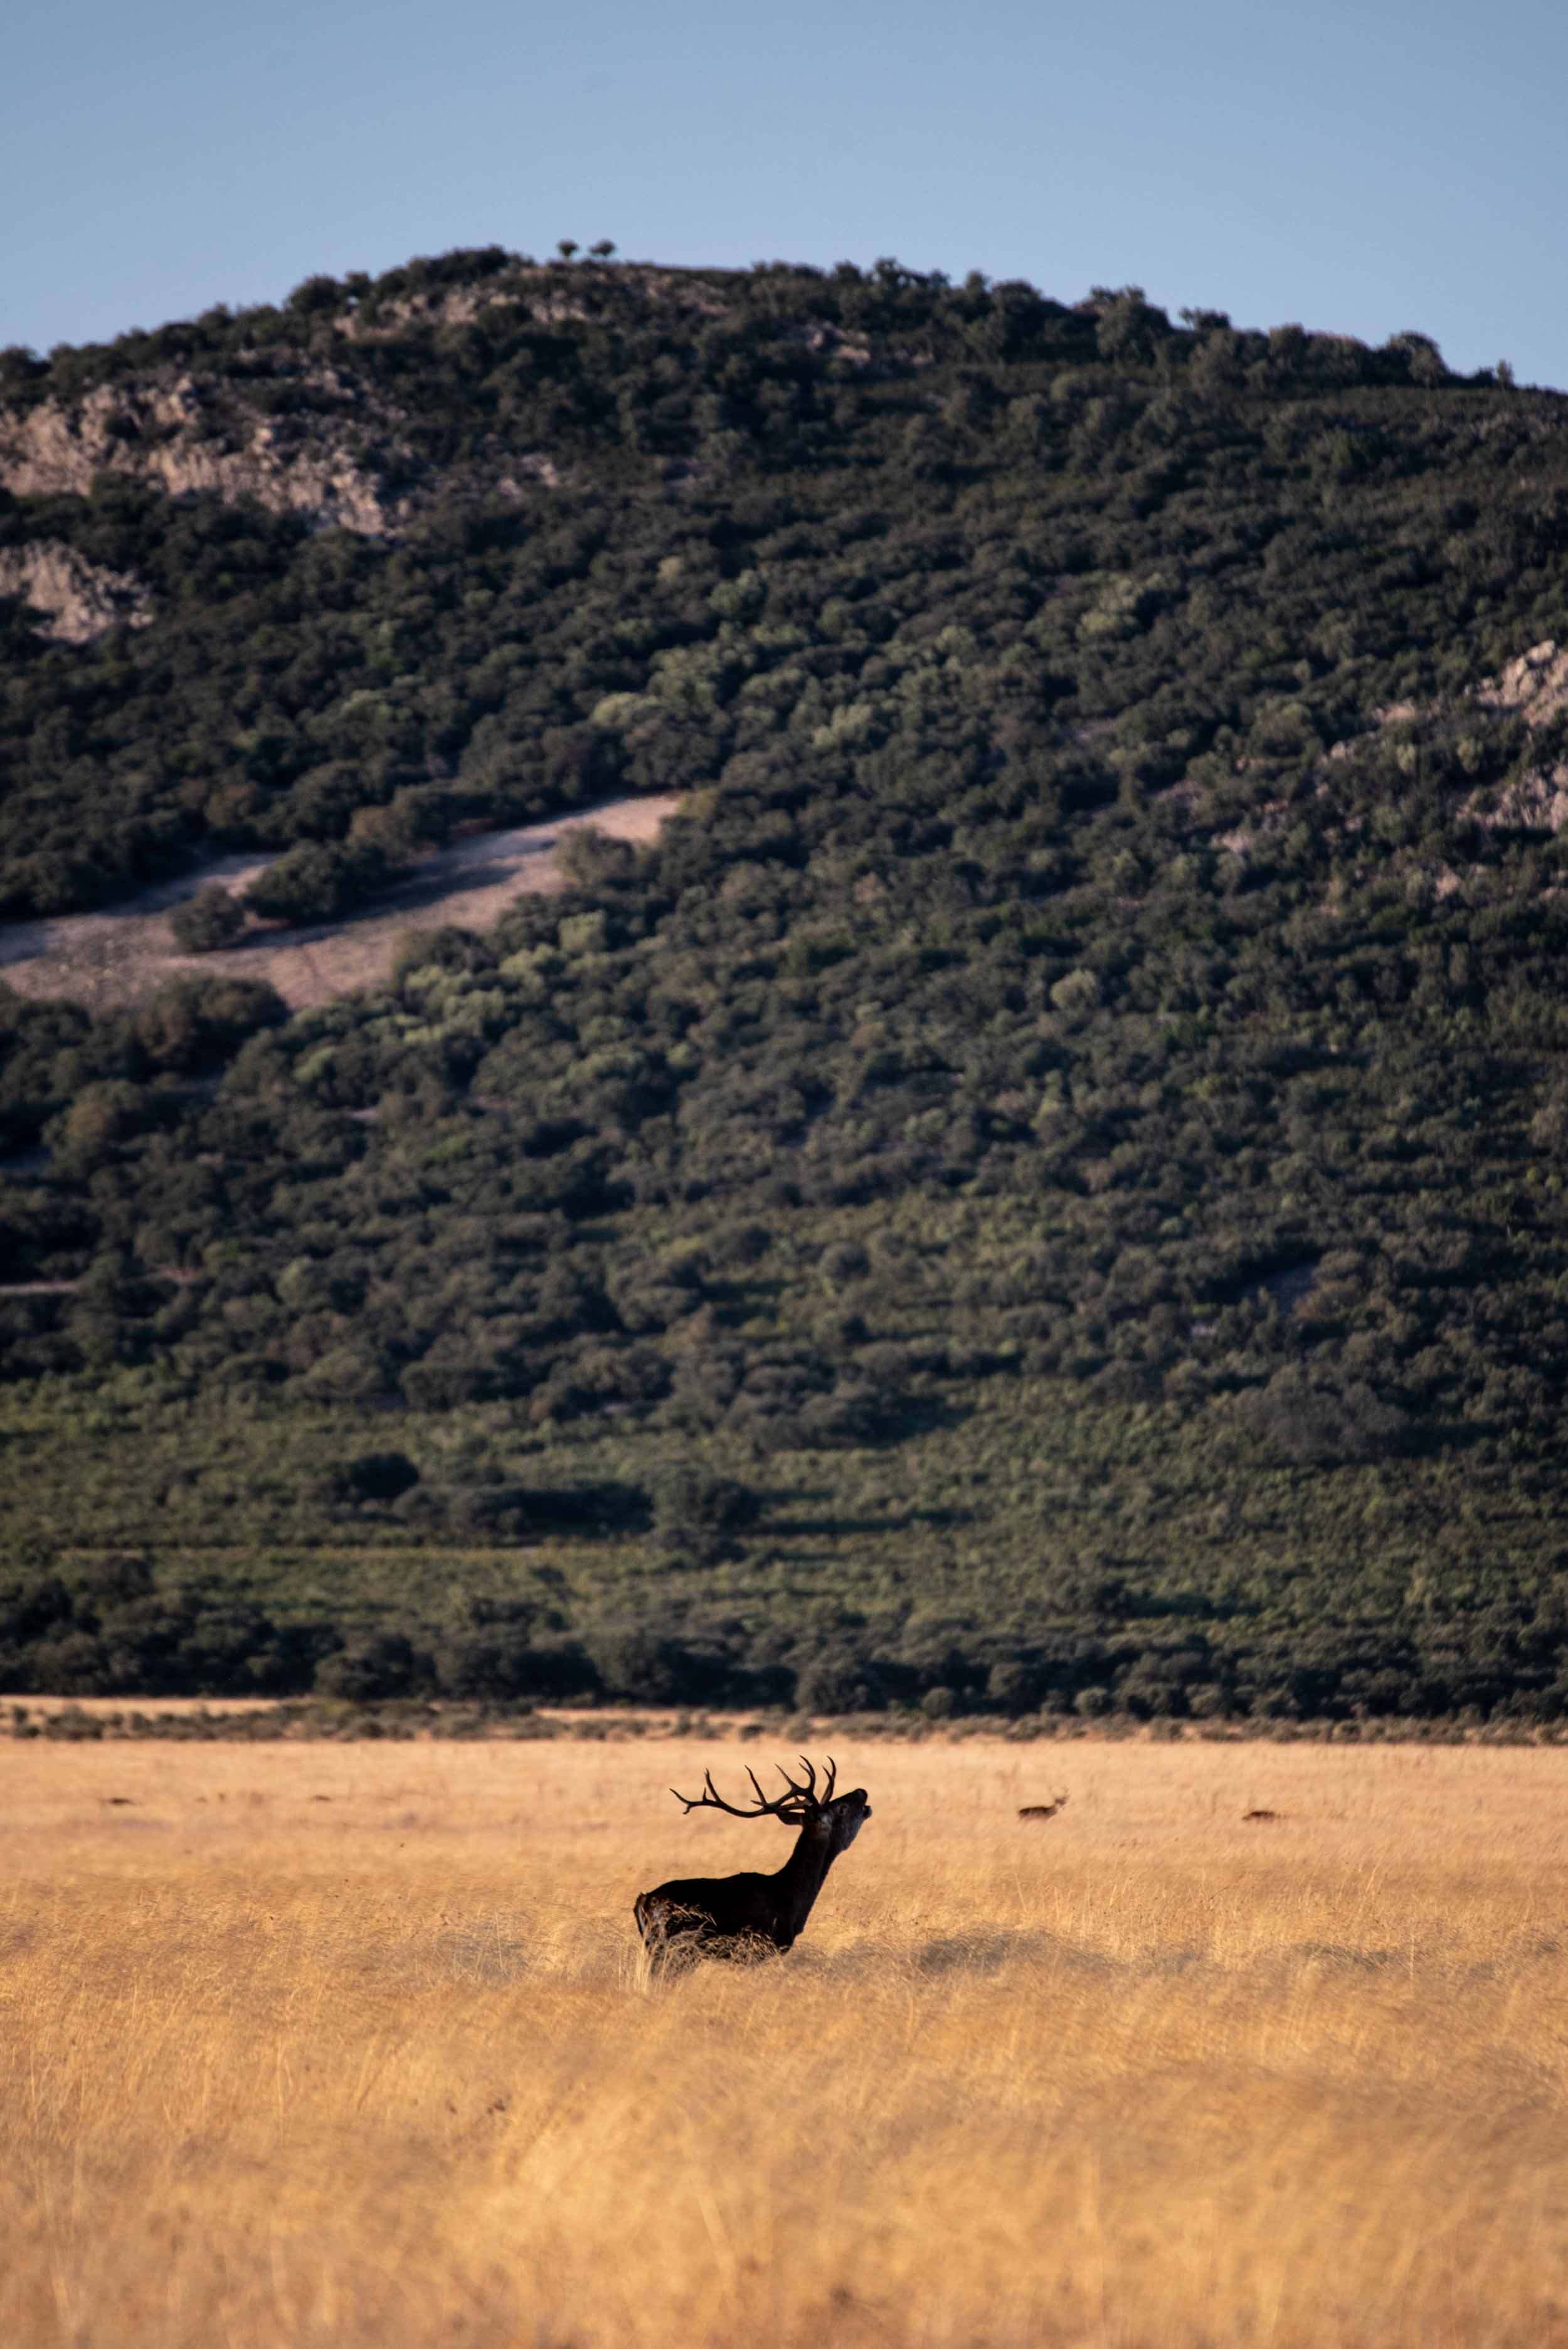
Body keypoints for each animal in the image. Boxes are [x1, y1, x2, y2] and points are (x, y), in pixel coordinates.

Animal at [634, 1756, 871, 1964]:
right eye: (841, 1808)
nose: (862, 1791)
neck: (789, 1896)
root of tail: (644, 1901)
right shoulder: (758, 1948)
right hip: (677, 1947)